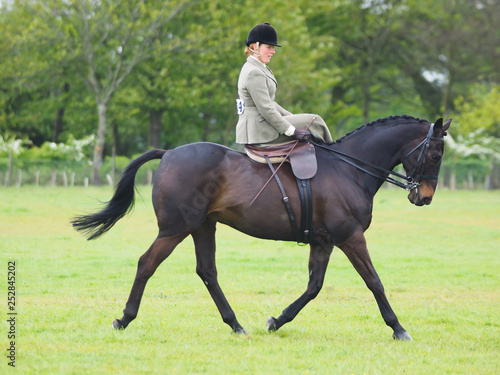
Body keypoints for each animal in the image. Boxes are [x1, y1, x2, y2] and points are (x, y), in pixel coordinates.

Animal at [72, 114, 452, 340]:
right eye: (435, 155)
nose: (425, 197)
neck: (349, 169)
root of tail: (168, 154)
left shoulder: (324, 241)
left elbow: (314, 287)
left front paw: (276, 321)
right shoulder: (350, 237)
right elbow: (374, 282)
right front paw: (398, 328)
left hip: (203, 227)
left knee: (207, 271)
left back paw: (236, 324)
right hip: (175, 230)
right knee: (147, 264)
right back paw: (124, 318)